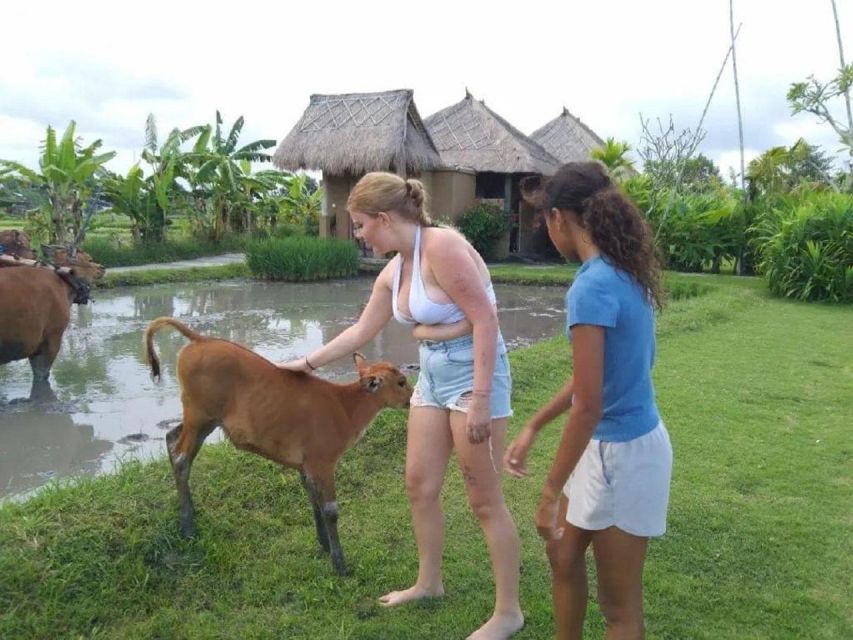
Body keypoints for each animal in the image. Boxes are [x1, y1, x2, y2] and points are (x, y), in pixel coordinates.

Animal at [144, 318, 412, 576]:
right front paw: (340, 563)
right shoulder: (323, 463)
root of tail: (200, 339)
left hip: (206, 420)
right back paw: (188, 526)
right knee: (182, 458)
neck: (345, 406)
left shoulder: (307, 466)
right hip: (199, 413)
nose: (413, 397)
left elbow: (314, 500)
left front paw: (324, 543)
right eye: (401, 381)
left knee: (171, 438)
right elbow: (330, 510)